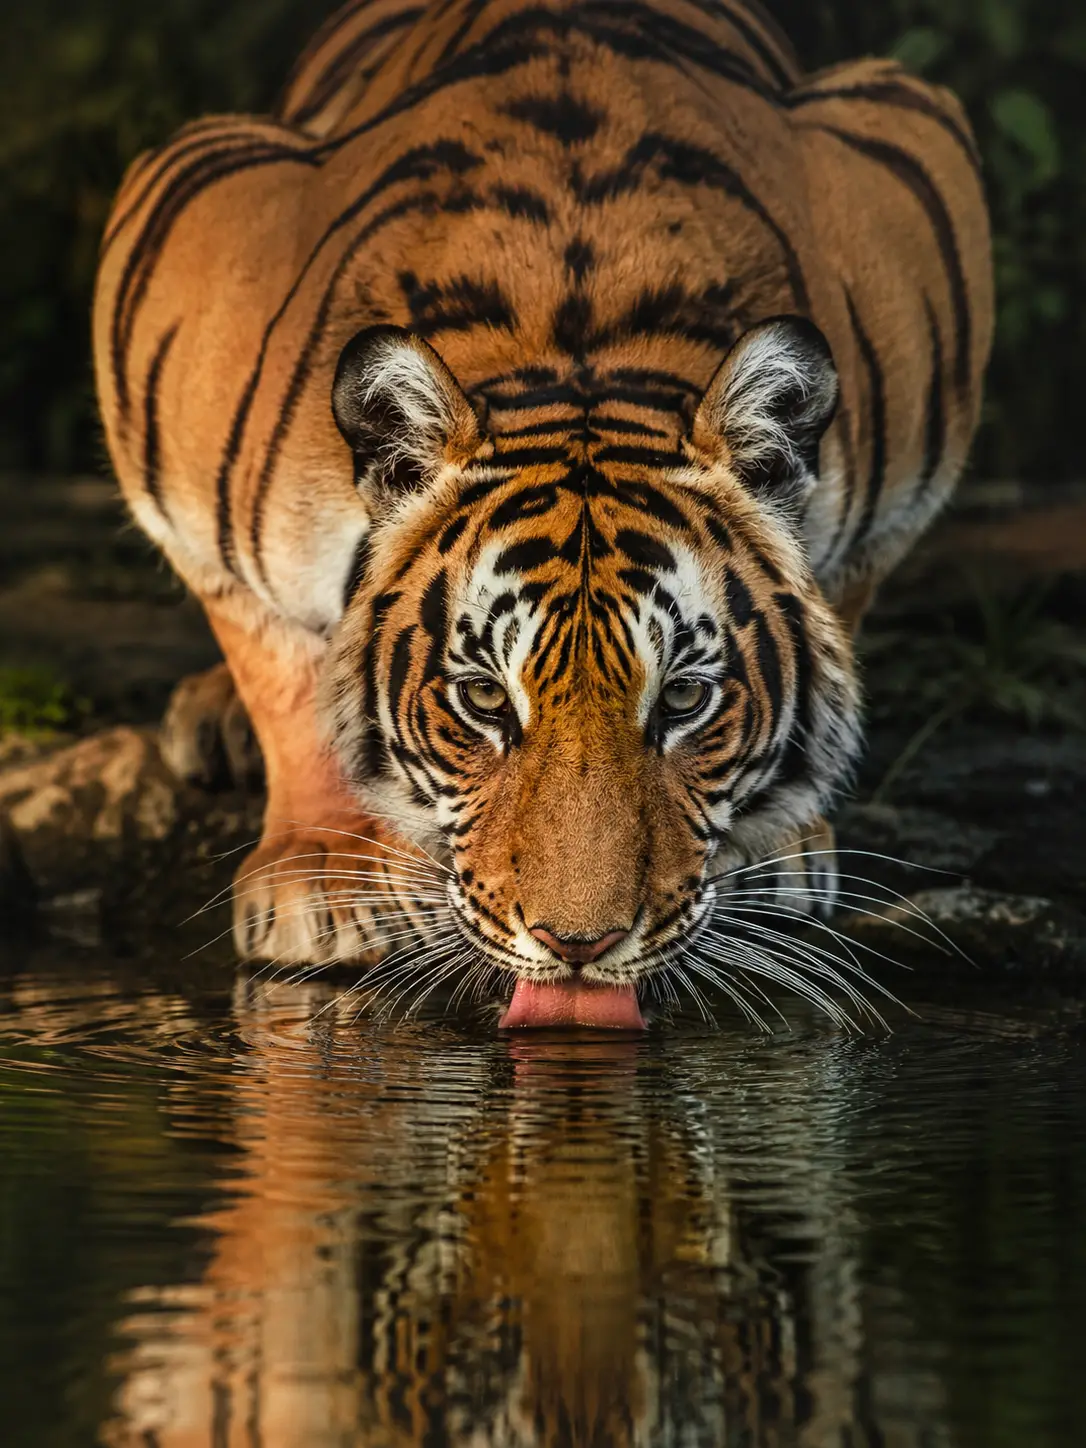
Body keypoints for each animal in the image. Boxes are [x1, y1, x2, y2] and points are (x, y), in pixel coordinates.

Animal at [93, 0, 992, 1028]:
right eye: (484, 699)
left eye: (684, 700)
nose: (578, 947)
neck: (577, 349)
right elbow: (278, 663)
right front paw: (326, 877)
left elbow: (835, 610)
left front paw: (777, 839)